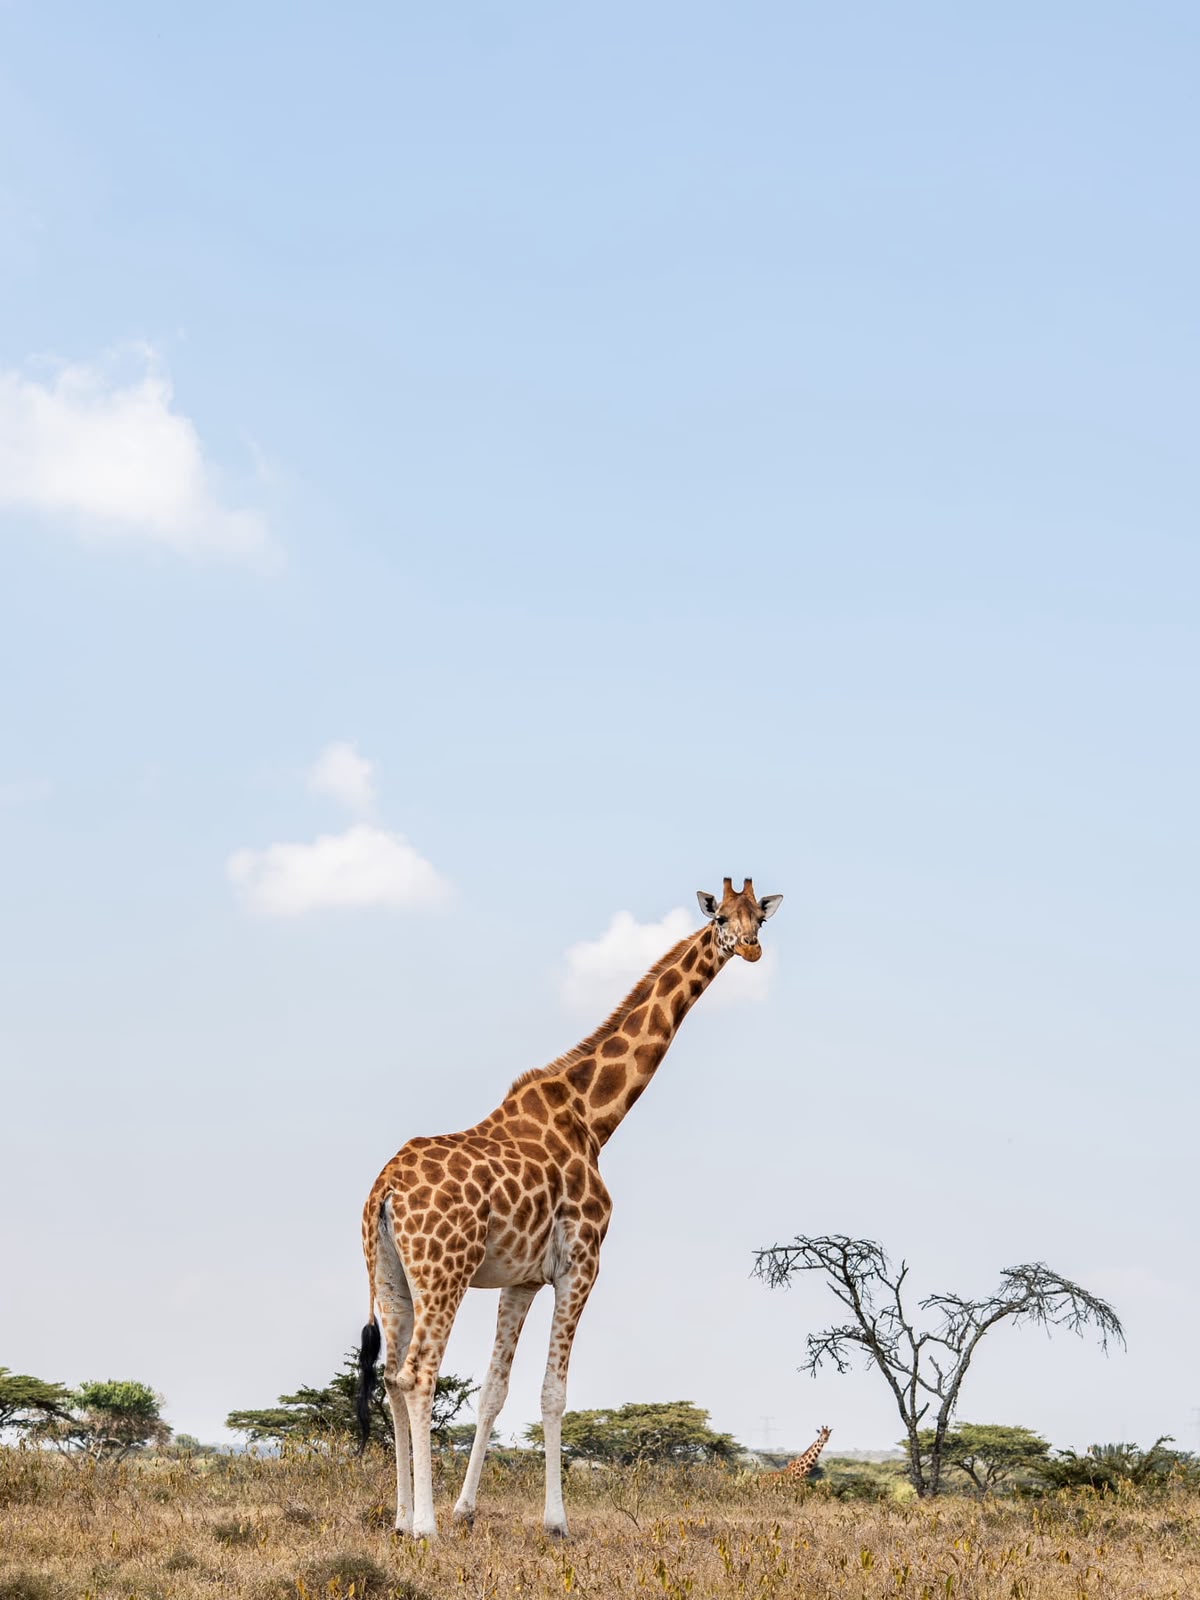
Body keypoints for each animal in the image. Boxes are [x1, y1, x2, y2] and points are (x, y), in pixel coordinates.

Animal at [356, 876, 783, 1541]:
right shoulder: (582, 1262)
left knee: (391, 1378)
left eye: (759, 918)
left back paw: (402, 1519)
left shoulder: (522, 1279)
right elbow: (553, 1392)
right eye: (721, 921)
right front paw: (555, 1521)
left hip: (391, 1277)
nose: (752, 949)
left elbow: (495, 1388)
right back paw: (423, 1526)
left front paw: (466, 1509)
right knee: (417, 1373)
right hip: (444, 1271)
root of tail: (386, 1191)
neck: (593, 1117)